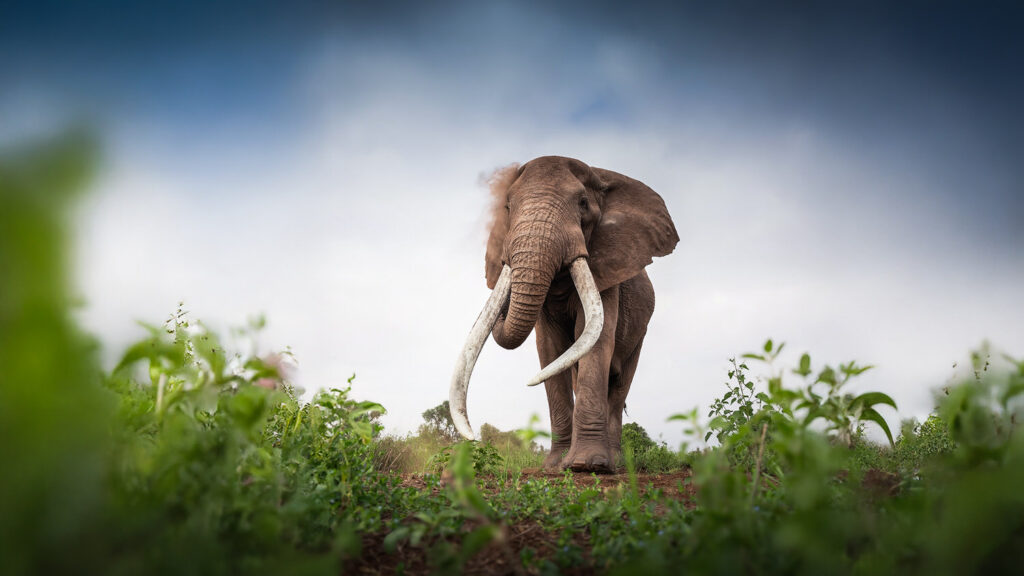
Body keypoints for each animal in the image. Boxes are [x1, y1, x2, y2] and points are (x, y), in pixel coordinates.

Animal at [450, 155, 678, 473]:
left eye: (583, 203)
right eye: (507, 206)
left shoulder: (608, 271)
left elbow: (596, 339)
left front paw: (586, 465)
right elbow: (549, 349)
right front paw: (555, 466)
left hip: (640, 333)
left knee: (620, 384)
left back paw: (615, 462)